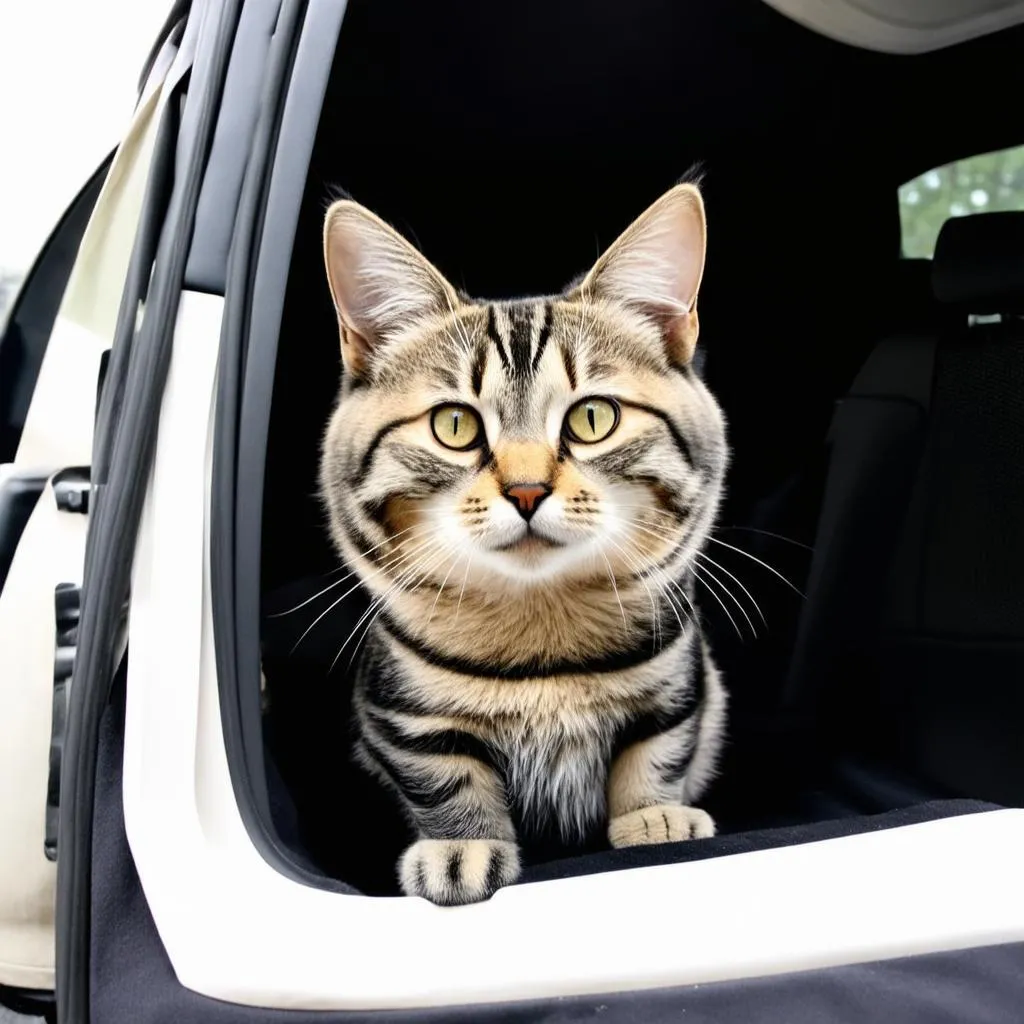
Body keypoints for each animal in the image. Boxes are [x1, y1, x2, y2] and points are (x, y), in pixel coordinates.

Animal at [319, 182, 729, 905]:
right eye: (454, 425)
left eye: (593, 418)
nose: (528, 490)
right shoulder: (401, 718)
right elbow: (446, 778)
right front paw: (461, 847)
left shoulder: (682, 685)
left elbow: (656, 751)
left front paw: (654, 817)